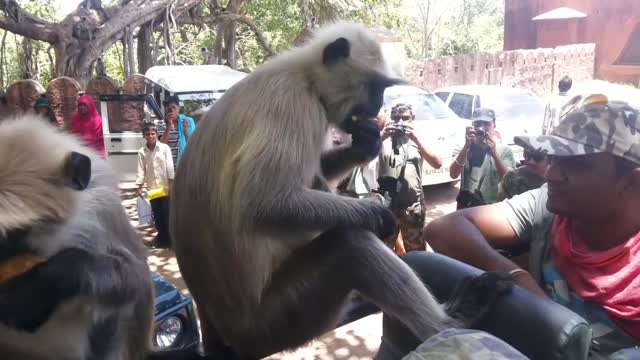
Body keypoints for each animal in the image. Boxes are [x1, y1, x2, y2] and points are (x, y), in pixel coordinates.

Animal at [170, 21, 510, 358]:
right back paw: (448, 323)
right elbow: (264, 205)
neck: (305, 75)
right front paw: (378, 213)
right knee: (351, 247)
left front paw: (365, 146)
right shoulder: (294, 106)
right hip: (277, 321)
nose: (378, 107)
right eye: (375, 87)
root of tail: (226, 334)